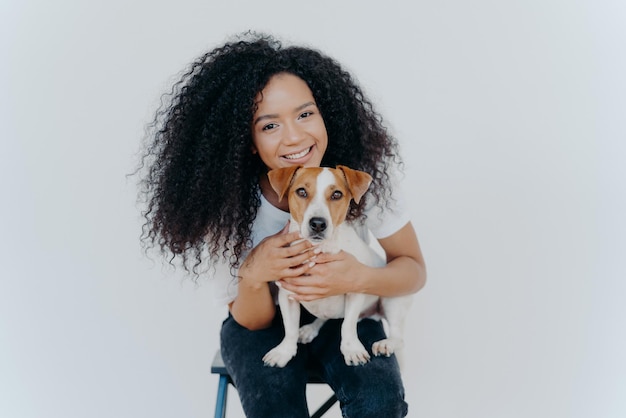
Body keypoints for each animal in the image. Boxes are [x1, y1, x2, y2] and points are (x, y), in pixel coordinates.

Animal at [260, 165, 412, 368]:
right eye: (301, 191)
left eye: (337, 194)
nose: (318, 223)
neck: (318, 250)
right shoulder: (287, 295)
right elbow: (289, 328)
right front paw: (284, 352)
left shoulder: (356, 290)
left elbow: (347, 324)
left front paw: (351, 350)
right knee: (323, 317)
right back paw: (310, 329)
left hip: (392, 300)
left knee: (398, 337)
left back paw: (386, 343)